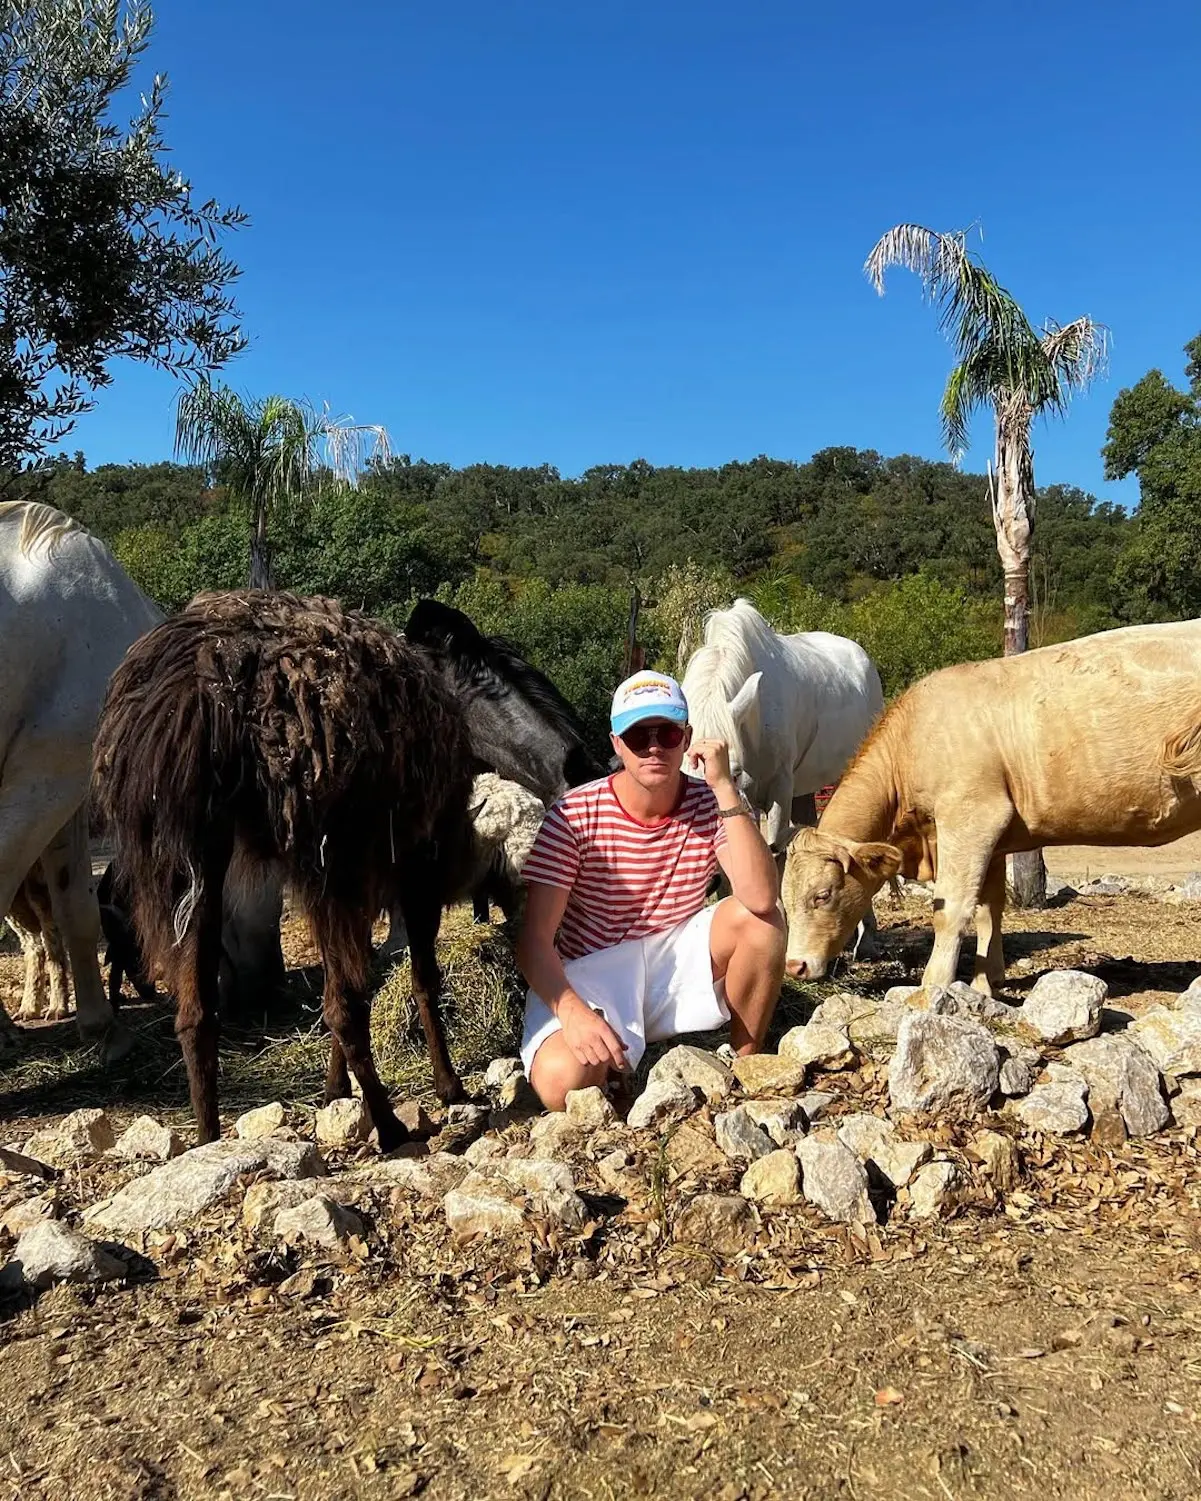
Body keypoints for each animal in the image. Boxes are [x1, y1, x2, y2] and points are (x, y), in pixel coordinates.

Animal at [780, 621, 1201, 996]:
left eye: (822, 895)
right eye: (785, 899)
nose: (794, 965)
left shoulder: (971, 817)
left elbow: (951, 909)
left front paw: (931, 988)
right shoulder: (995, 836)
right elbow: (989, 908)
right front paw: (987, 983)